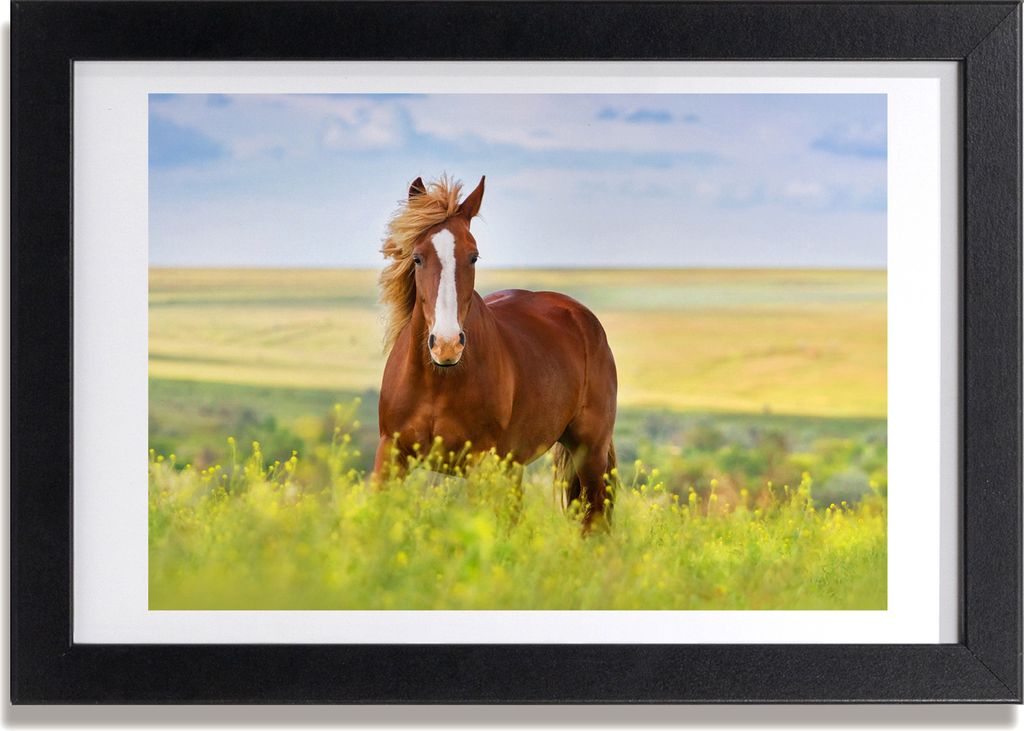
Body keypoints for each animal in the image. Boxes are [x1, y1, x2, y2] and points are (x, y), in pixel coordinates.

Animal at [373, 175, 618, 530]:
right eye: (417, 257)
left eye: (473, 256)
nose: (447, 344)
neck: (438, 380)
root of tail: (581, 317)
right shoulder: (391, 453)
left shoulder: (479, 462)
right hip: (514, 465)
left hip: (590, 453)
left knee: (595, 520)